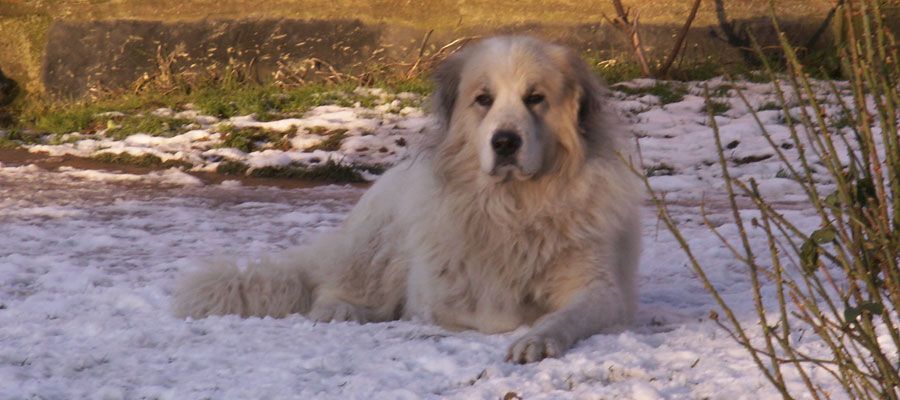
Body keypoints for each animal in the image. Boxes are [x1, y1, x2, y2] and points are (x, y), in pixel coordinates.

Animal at [172, 36, 640, 364]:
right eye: (484, 99)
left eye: (535, 98)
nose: (505, 142)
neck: (515, 206)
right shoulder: (435, 297)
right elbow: (495, 314)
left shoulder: (600, 290)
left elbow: (561, 317)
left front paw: (536, 338)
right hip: (376, 249)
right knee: (333, 289)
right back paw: (343, 311)